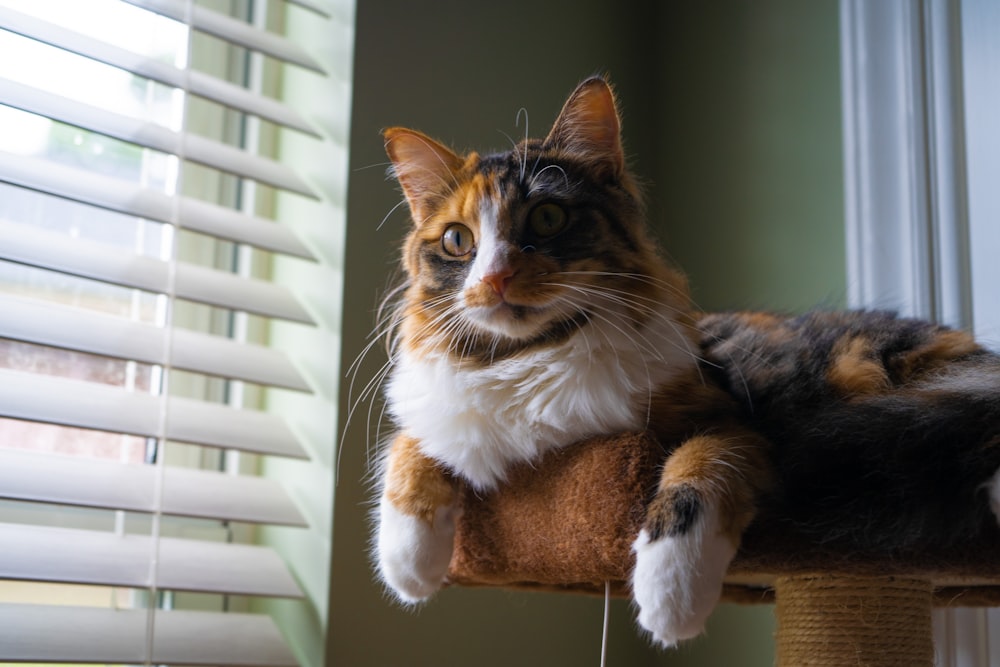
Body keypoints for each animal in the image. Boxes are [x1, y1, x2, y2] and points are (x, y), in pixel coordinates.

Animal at [372, 74, 1000, 648]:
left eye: (547, 218)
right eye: (457, 241)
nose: (495, 278)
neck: (530, 356)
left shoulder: (729, 419)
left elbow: (696, 467)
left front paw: (671, 593)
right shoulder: (441, 416)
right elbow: (409, 445)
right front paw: (409, 561)